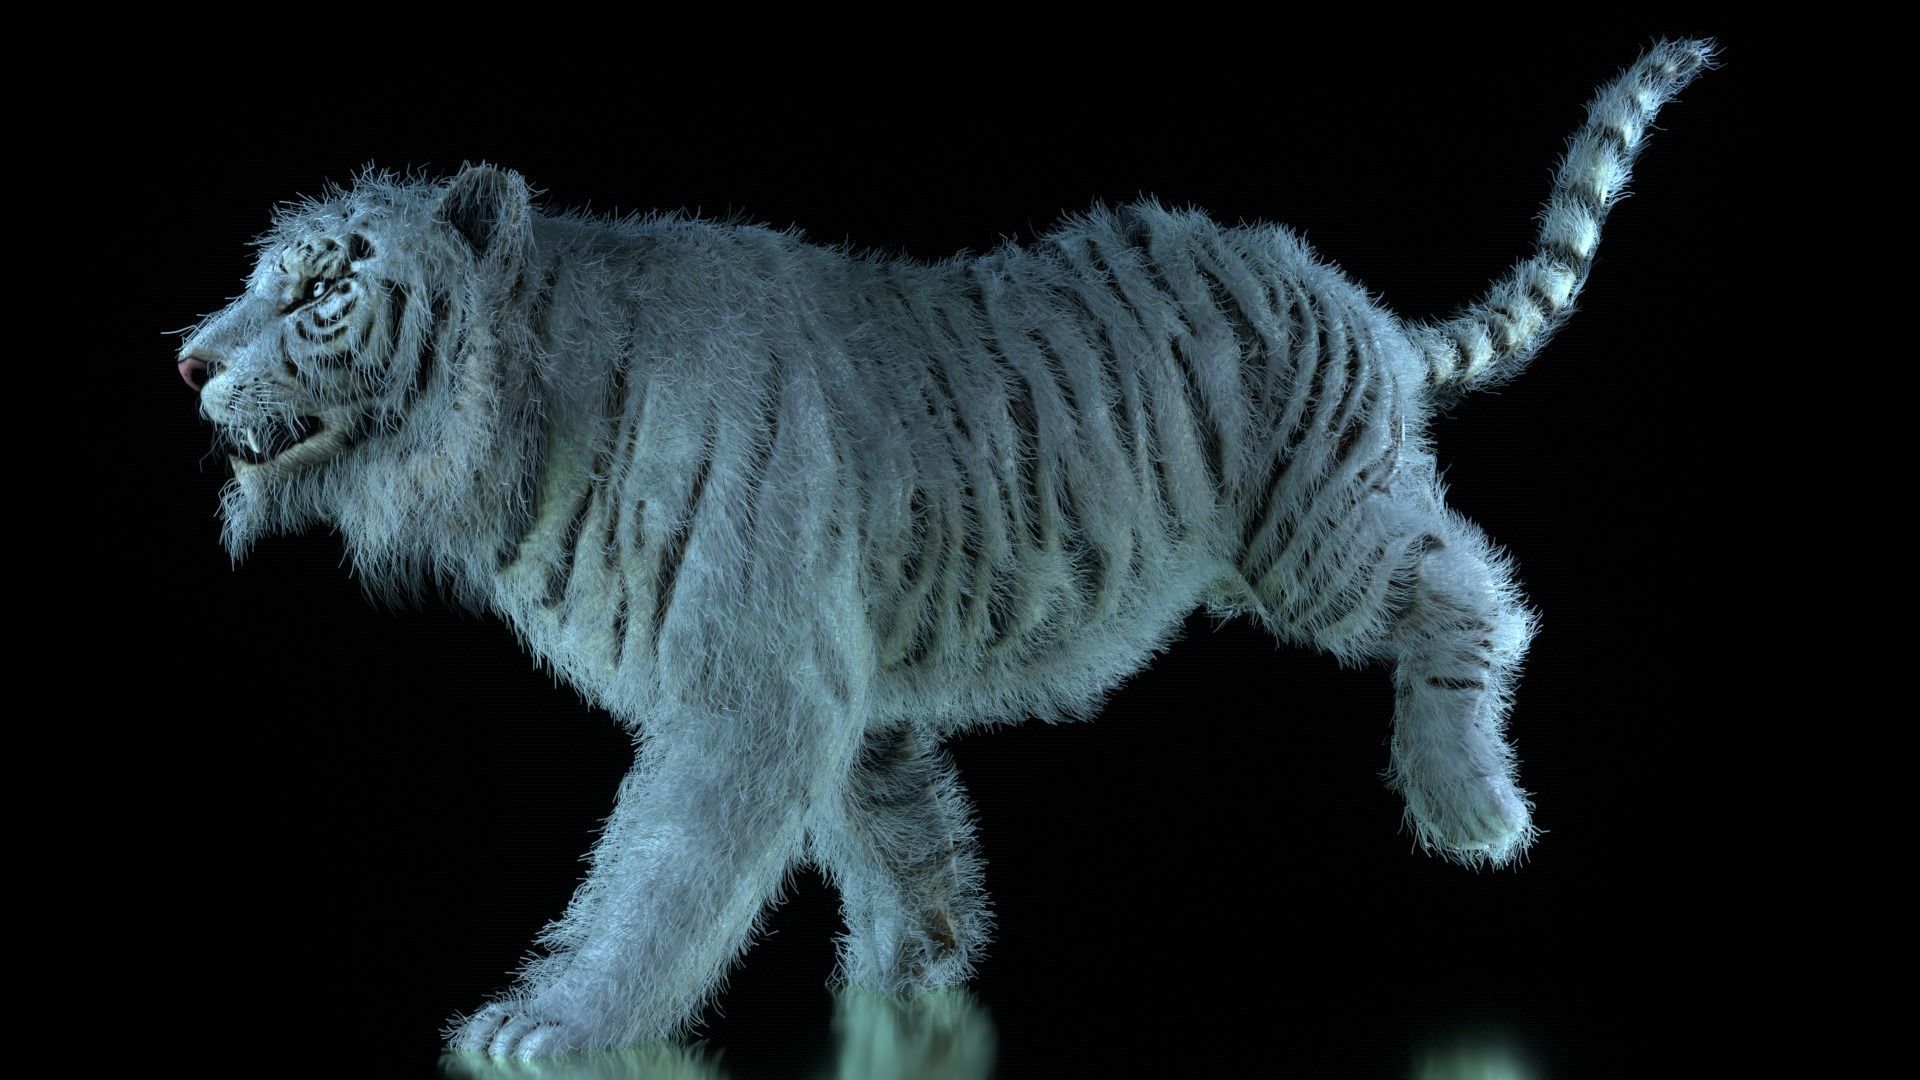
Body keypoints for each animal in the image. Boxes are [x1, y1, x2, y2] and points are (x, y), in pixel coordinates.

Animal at [175, 39, 1716, 1059]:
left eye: (316, 293)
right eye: (259, 278)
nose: (187, 360)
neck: (519, 420)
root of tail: (1353, 300)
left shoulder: (750, 689)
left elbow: (658, 873)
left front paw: (552, 1023)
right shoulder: (843, 687)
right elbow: (898, 825)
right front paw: (912, 972)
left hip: (1320, 538)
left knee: (1473, 586)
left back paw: (1473, 811)